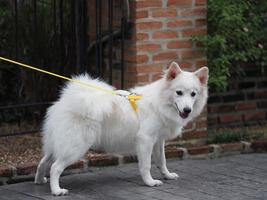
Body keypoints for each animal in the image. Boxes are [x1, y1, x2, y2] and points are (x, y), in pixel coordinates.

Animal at [34, 62, 209, 195]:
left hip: (58, 144)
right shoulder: (145, 140)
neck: (160, 102)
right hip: (75, 147)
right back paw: (57, 191)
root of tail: (66, 101)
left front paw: (167, 175)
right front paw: (150, 182)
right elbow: (146, 165)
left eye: (193, 94)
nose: (187, 110)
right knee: (55, 167)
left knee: (43, 162)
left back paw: (39, 180)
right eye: (179, 92)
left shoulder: (158, 141)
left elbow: (162, 161)